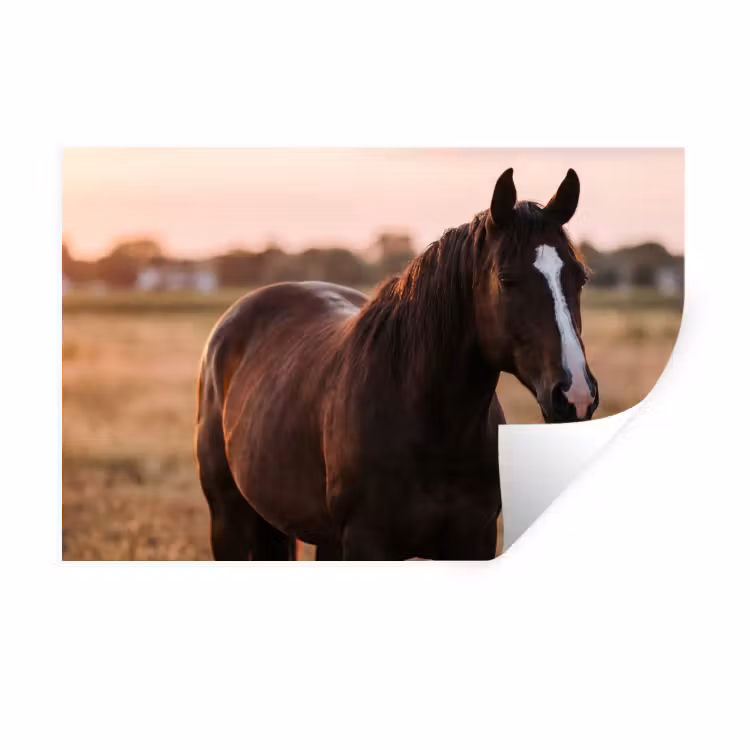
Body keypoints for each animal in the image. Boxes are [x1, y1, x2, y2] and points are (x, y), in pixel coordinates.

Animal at [195, 168, 599, 561]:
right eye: (506, 279)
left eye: (580, 277)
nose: (575, 395)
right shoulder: (366, 543)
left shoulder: (474, 541)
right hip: (228, 520)